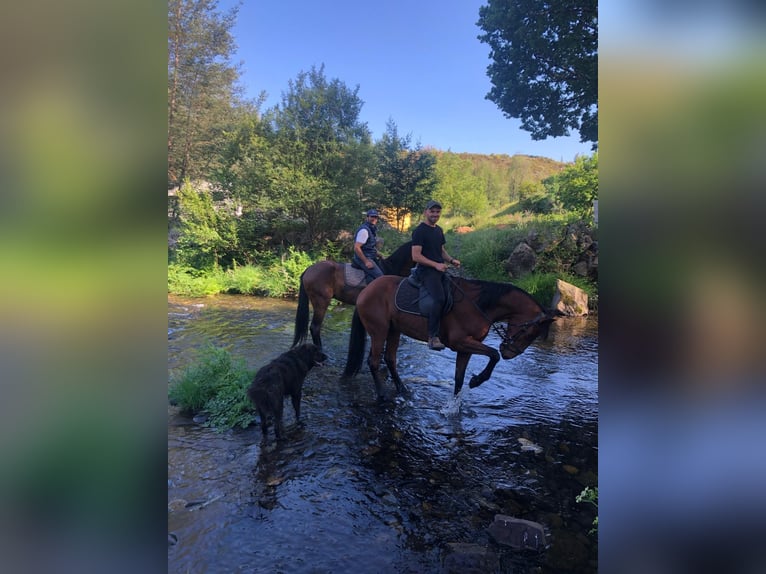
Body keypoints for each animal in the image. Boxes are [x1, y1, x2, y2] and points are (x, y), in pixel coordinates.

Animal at [342, 276, 560, 402]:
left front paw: (454, 407)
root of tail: (366, 289)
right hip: (379, 330)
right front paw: (477, 380)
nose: (510, 353)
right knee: (374, 361)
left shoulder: (466, 348)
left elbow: (459, 378)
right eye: (530, 333)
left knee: (390, 359)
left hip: (394, 330)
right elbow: (493, 355)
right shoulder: (460, 342)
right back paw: (381, 395)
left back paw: (403, 390)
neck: (480, 304)